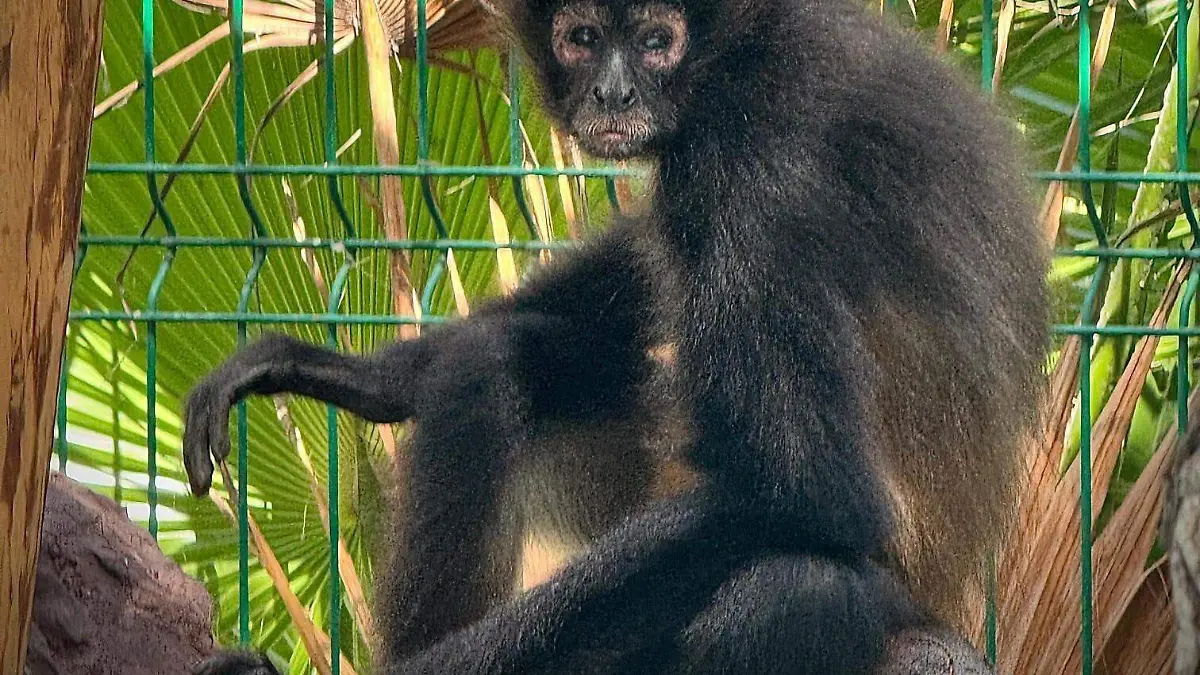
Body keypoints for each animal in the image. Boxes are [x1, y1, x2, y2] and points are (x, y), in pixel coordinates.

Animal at [180, 0, 1049, 670]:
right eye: (583, 37)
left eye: (659, 39)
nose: (614, 91)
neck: (746, 48)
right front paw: (369, 373)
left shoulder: (761, 156)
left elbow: (813, 492)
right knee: (495, 361)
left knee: (798, 590)